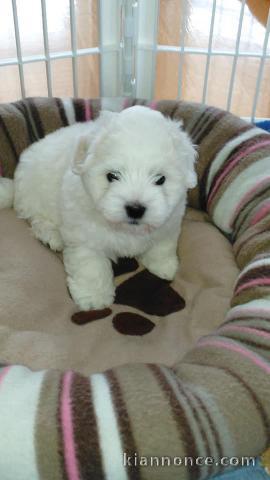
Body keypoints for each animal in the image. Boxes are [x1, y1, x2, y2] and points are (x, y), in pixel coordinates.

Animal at [4, 106, 196, 312]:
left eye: (160, 179)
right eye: (112, 176)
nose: (135, 209)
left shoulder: (170, 222)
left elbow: (162, 245)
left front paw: (164, 266)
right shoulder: (84, 236)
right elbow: (91, 266)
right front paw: (94, 298)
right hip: (33, 196)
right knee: (37, 219)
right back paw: (51, 236)